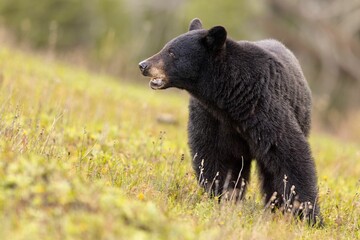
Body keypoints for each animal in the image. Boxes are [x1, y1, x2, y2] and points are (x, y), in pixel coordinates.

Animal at [139, 18, 322, 223]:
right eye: (165, 47)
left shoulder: (264, 107)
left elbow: (289, 154)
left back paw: (274, 207)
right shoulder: (210, 116)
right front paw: (221, 197)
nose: (143, 65)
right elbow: (213, 156)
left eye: (171, 52)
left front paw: (307, 215)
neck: (231, 99)